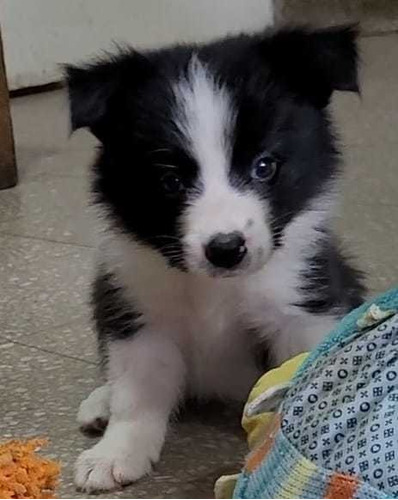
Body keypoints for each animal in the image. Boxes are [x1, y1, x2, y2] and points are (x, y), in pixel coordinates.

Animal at [67, 25, 366, 490]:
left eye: (264, 166)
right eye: (169, 181)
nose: (226, 249)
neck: (215, 288)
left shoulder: (303, 306)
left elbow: (303, 373)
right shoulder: (137, 307)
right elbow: (137, 390)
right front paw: (115, 453)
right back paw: (101, 402)